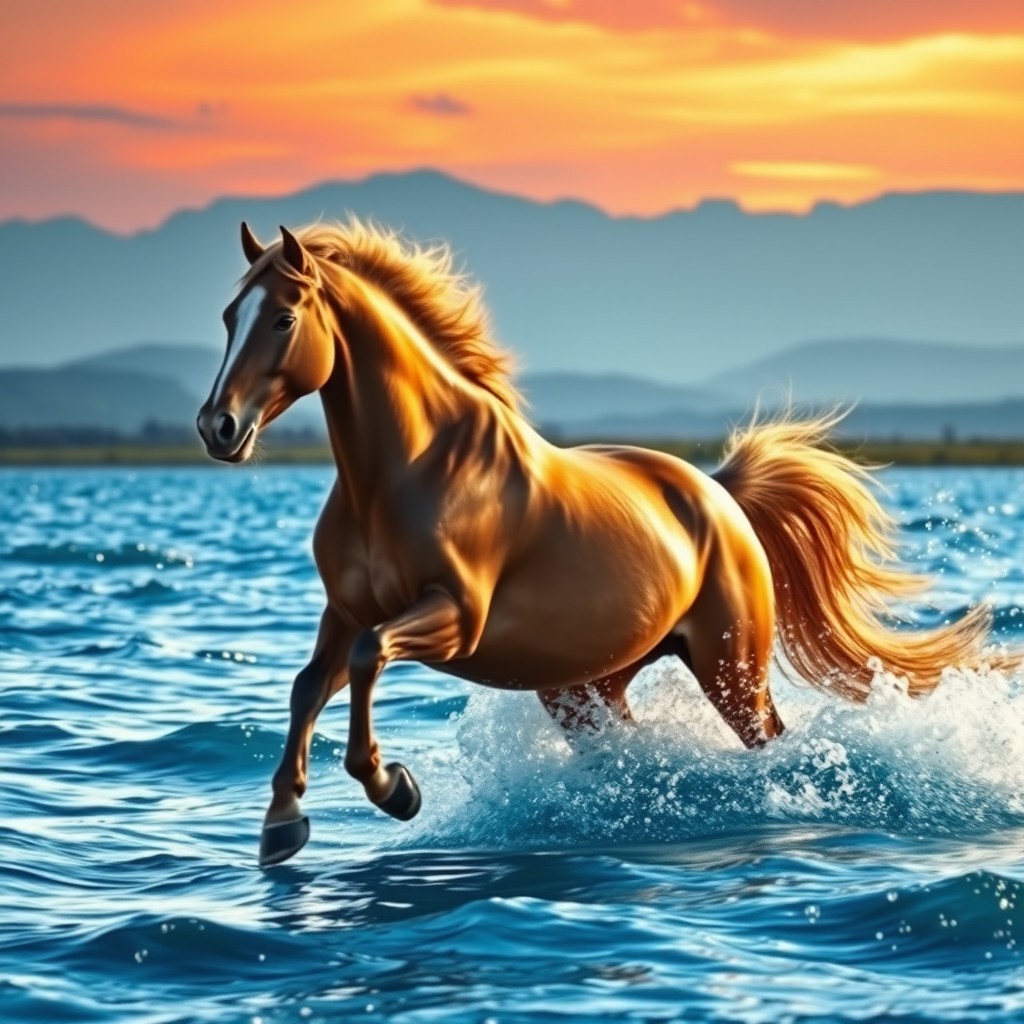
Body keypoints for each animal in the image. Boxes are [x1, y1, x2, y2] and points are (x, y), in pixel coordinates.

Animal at [197, 220, 1010, 866]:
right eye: (230, 315)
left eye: (283, 319)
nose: (217, 428)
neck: (410, 471)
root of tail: (720, 492)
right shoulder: (343, 613)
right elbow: (308, 685)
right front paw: (281, 826)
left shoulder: (453, 618)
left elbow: (369, 660)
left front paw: (394, 787)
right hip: (586, 688)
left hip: (730, 665)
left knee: (769, 738)